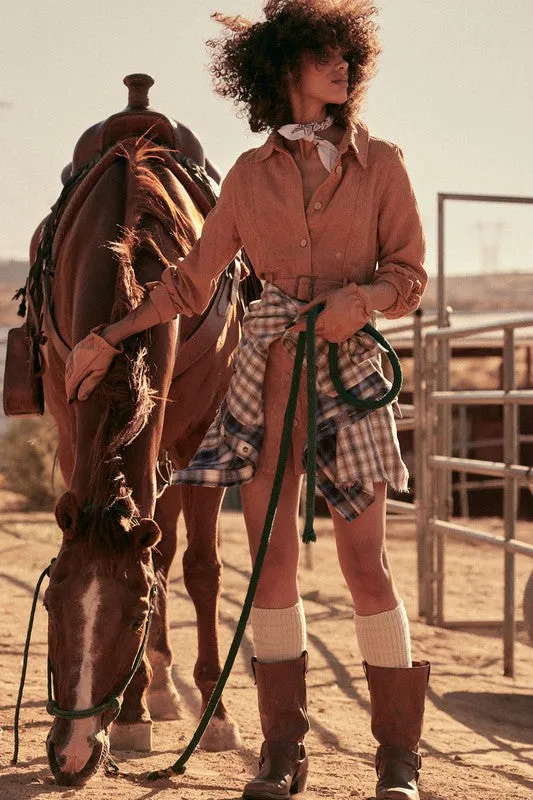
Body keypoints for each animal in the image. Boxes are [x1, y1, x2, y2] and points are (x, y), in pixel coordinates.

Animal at [24, 76, 256, 788]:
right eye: (53, 604)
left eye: (134, 612)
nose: (72, 756)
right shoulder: (73, 426)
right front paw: (134, 711)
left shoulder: (200, 435)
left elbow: (197, 568)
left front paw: (207, 712)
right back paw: (157, 690)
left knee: (177, 544)